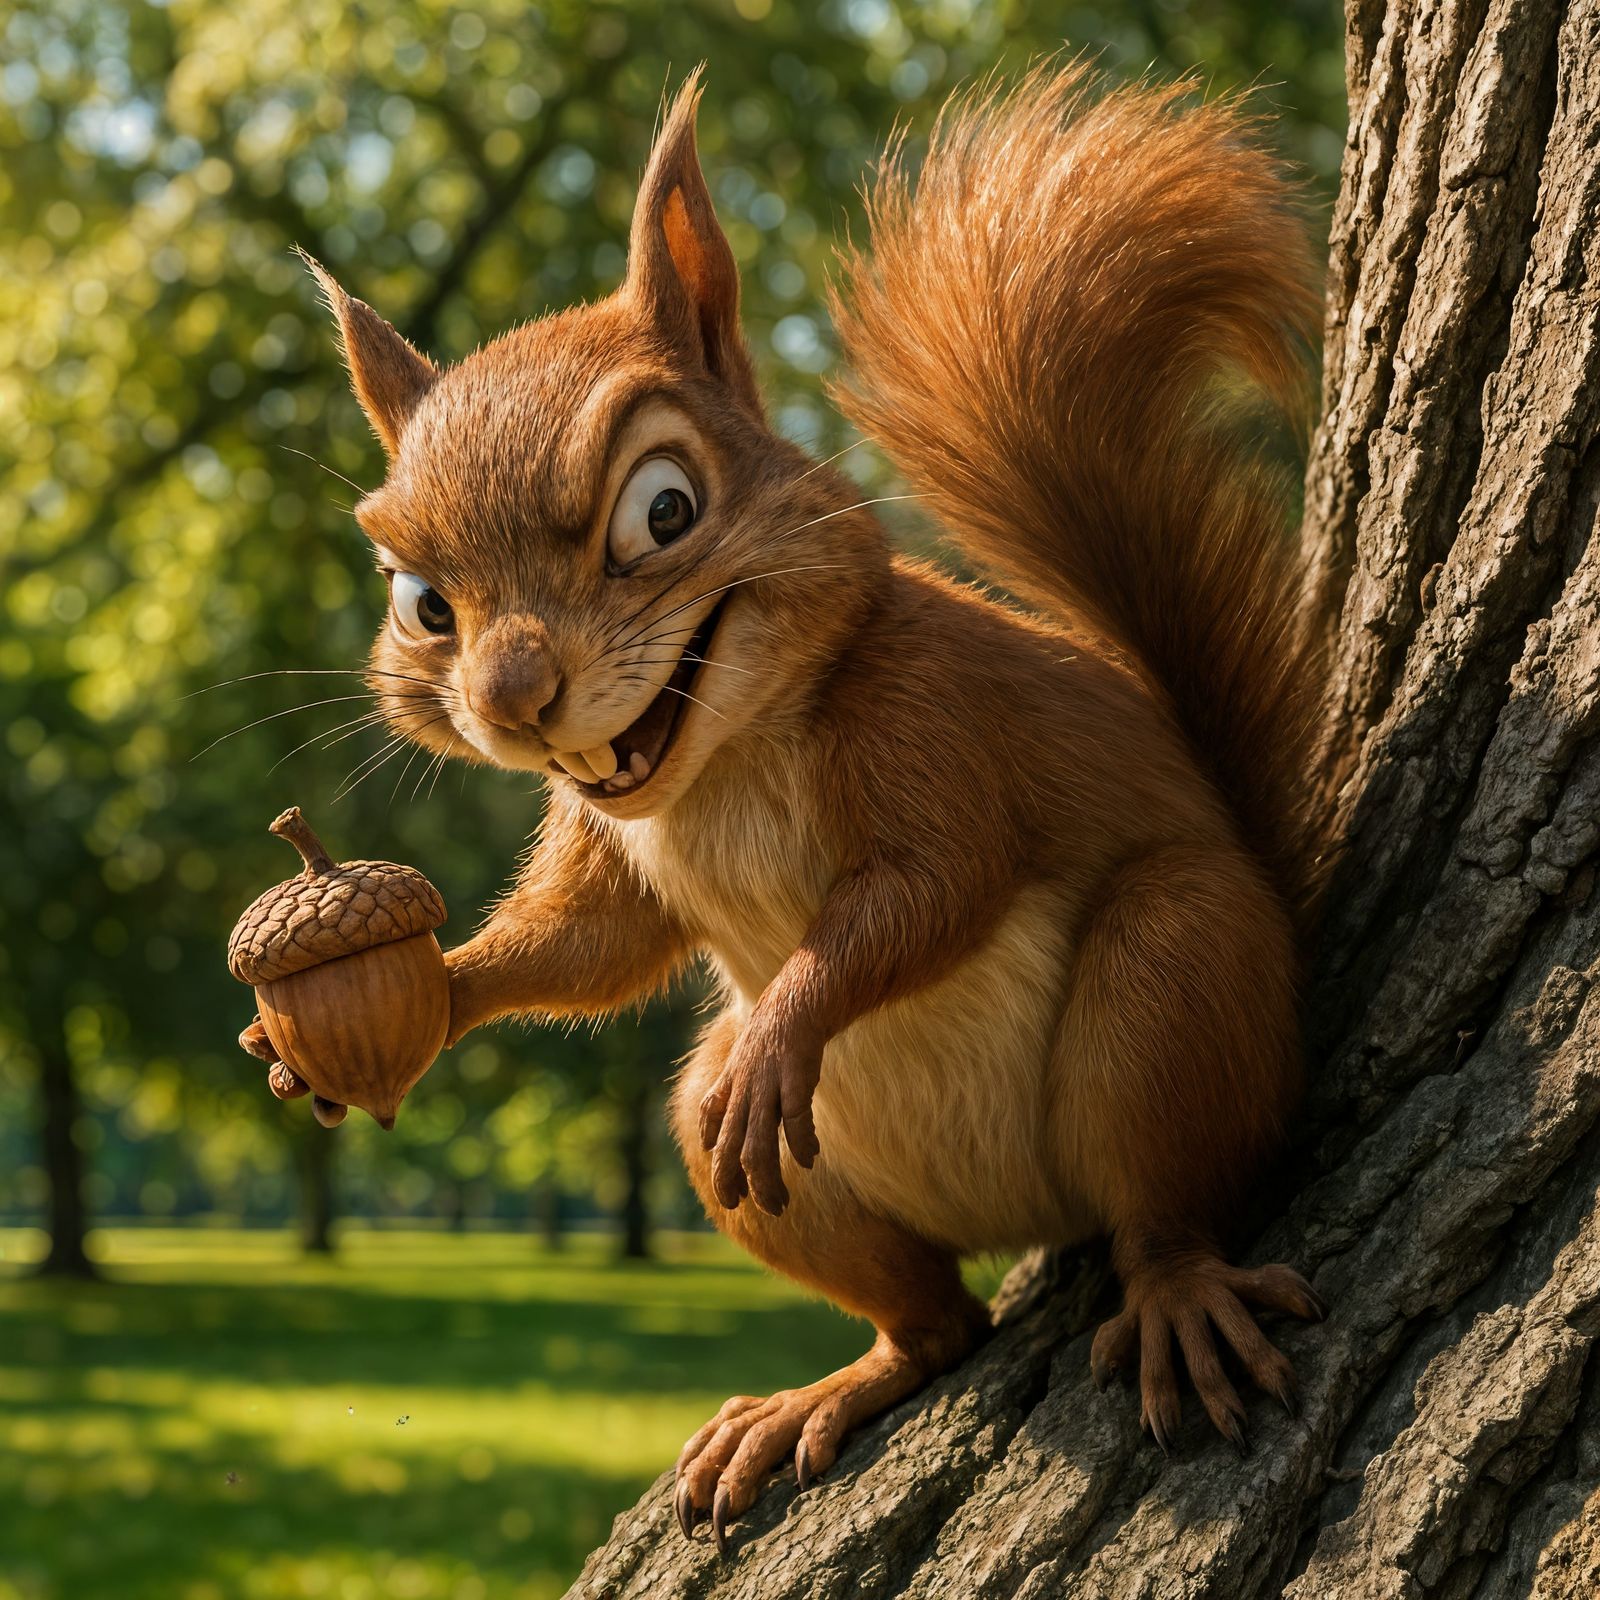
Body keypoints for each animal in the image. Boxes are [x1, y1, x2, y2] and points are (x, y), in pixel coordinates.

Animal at [272, 63, 1330, 1548]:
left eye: (664, 511)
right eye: (422, 603)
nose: (515, 697)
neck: (711, 763)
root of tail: (1027, 1210)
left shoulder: (934, 717)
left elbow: (934, 884)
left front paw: (788, 1024)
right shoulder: (604, 833)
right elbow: (587, 950)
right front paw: (421, 1001)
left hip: (1178, 980)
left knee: (1164, 1203)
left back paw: (1175, 1295)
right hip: (767, 1169)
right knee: (930, 1318)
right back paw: (823, 1391)